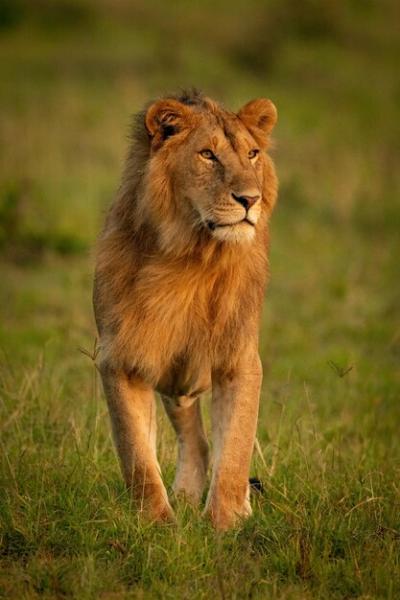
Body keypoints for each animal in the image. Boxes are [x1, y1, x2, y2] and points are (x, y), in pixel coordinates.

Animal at [93, 89, 278, 528]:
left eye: (252, 154)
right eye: (207, 155)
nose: (250, 199)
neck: (192, 258)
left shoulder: (240, 358)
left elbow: (236, 448)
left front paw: (225, 524)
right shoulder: (121, 358)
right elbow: (137, 455)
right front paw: (156, 524)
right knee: (195, 439)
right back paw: (184, 495)